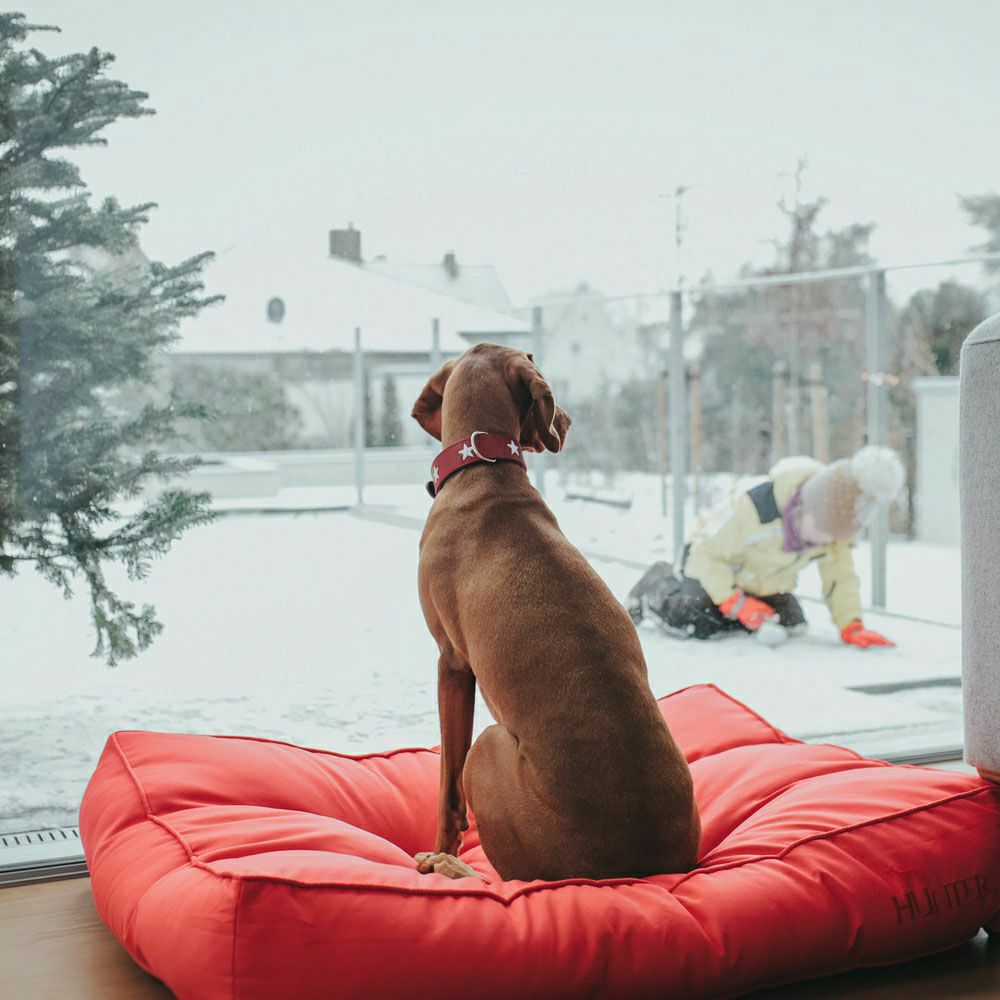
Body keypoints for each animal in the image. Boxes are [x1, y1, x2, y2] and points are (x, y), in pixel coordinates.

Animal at [411, 343, 701, 881]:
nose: (567, 419)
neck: (484, 468)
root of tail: (636, 868)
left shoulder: (452, 664)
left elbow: (446, 789)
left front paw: (441, 846)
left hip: (488, 746)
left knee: (506, 875)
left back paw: (446, 865)